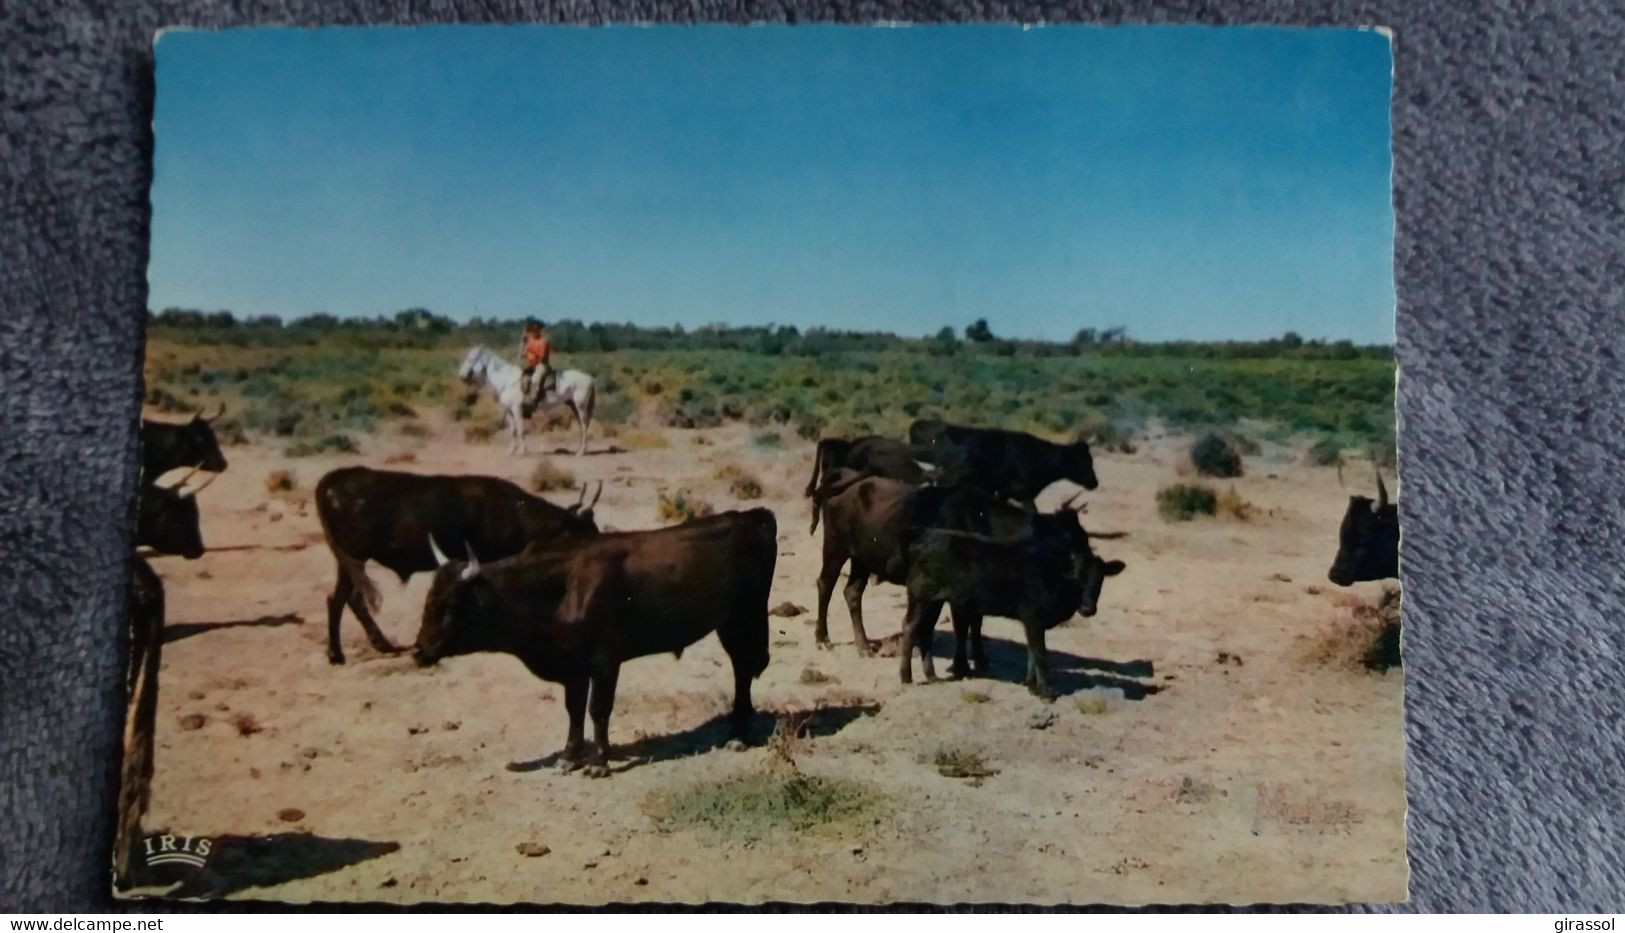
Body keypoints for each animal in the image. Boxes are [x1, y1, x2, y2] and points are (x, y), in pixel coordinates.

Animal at [416, 507, 776, 780]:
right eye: (428, 599)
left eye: (451, 605)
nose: (419, 651)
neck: (564, 586)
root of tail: (749, 516)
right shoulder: (572, 666)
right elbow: (574, 710)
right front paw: (569, 755)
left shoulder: (605, 661)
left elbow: (598, 709)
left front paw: (599, 761)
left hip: (744, 617)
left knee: (743, 668)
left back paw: (739, 735)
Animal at [458, 347, 598, 458]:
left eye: (471, 359)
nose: (461, 375)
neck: (507, 380)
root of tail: (590, 378)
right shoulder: (510, 411)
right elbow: (513, 430)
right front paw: (511, 450)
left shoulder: (517, 409)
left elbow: (520, 429)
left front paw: (522, 451)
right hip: (573, 406)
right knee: (582, 427)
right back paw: (580, 450)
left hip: (581, 406)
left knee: (585, 426)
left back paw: (581, 452)